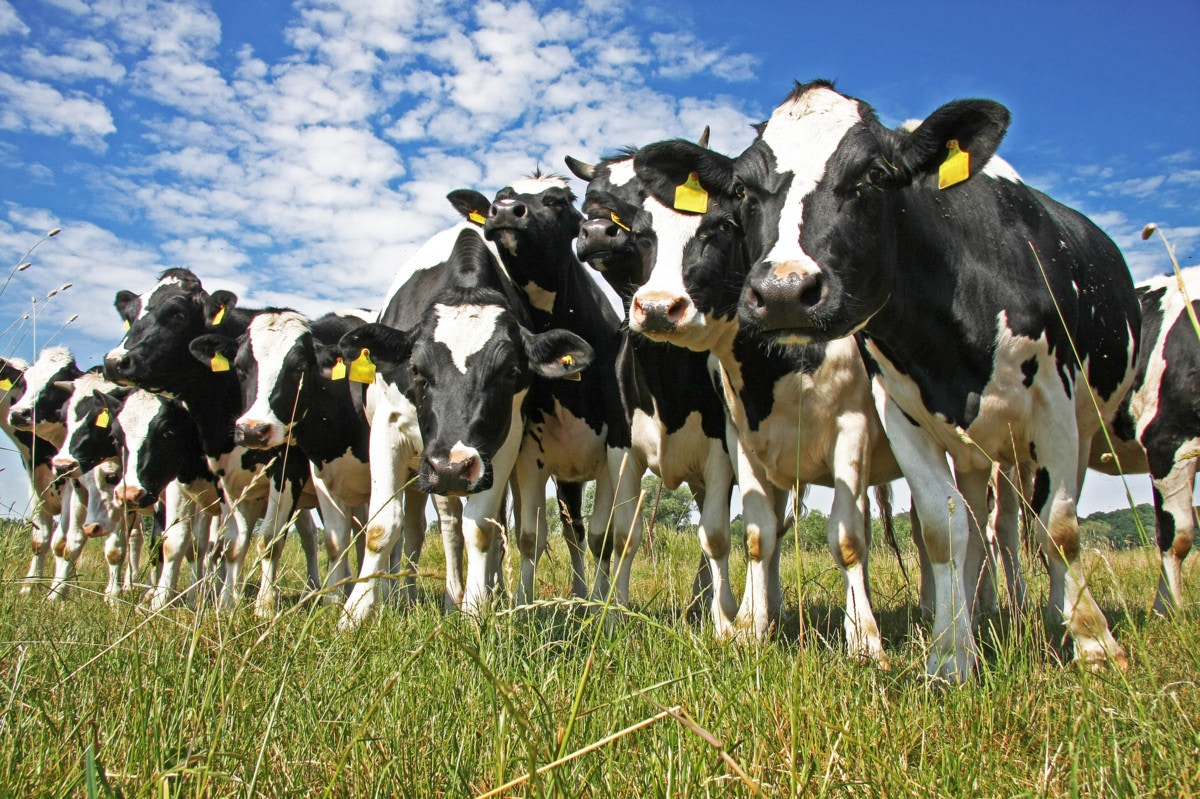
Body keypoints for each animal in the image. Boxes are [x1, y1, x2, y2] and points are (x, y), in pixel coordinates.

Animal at [104, 267, 324, 609]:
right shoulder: (206, 479)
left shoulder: (288, 470)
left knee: (310, 537)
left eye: (177, 312)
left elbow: (268, 538)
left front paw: (262, 605)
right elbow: (200, 543)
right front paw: (202, 601)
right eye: (129, 316)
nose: (115, 361)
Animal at [338, 225, 590, 628]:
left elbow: (483, 528)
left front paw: (475, 610)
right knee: (441, 527)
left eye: (511, 372)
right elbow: (381, 527)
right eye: (416, 370)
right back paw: (432, 598)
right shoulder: (387, 430)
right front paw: (355, 613)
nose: (452, 466)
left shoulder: (504, 445)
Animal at [564, 149, 739, 633]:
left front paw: (725, 622)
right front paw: (613, 616)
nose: (597, 232)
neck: (667, 381)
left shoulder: (721, 452)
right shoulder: (622, 450)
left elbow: (717, 535)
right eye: (590, 201)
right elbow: (623, 534)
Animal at [729, 79, 1132, 676]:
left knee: (1030, 524)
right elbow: (944, 533)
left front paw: (1094, 642)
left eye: (874, 174)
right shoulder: (901, 413)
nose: (783, 292)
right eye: (742, 189)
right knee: (972, 526)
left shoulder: (1052, 403)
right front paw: (949, 653)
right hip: (971, 453)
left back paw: (1050, 611)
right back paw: (974, 613)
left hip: (1072, 430)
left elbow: (1058, 526)